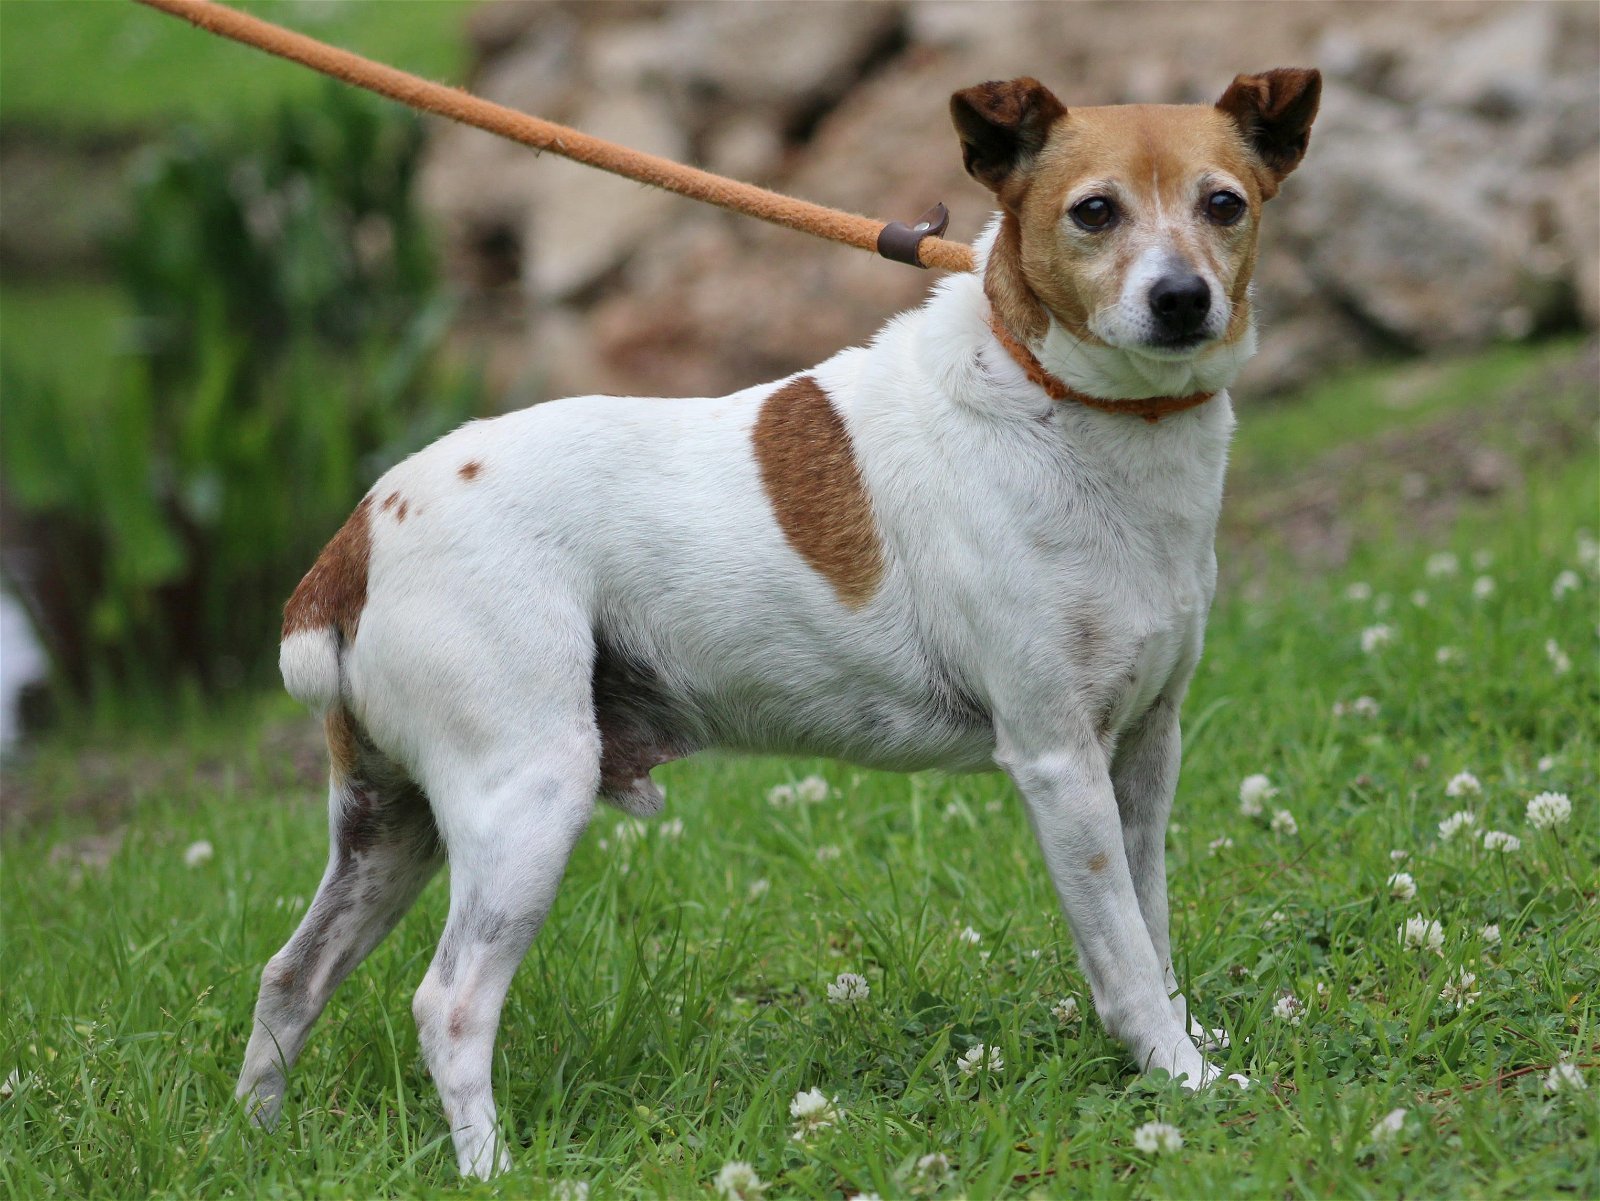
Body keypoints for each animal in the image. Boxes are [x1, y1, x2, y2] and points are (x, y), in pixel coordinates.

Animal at [232, 65, 1318, 1177]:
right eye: (1093, 212)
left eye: (1223, 204)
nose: (1181, 299)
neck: (1068, 406)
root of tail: (355, 538)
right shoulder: (1059, 761)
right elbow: (1124, 957)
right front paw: (1183, 1077)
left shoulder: (1144, 748)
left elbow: (1151, 925)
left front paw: (1184, 1039)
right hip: (525, 800)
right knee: (447, 1005)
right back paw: (491, 1170)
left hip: (390, 826)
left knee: (291, 974)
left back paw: (256, 1139)